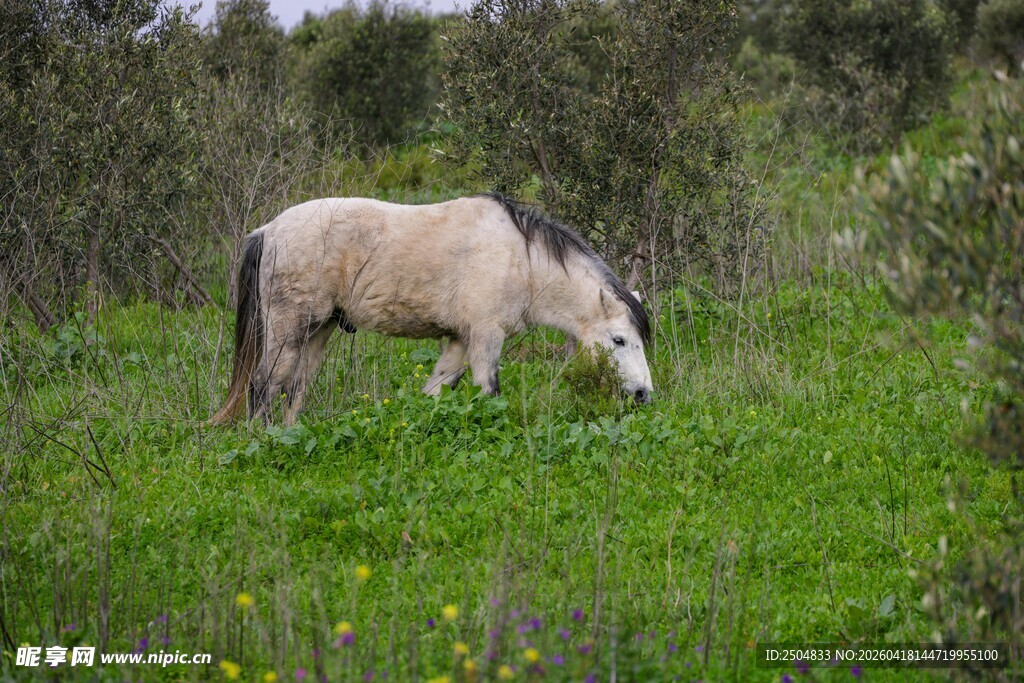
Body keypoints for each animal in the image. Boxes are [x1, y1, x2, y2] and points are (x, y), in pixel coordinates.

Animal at [211, 192, 653, 425]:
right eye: (619, 340)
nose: (643, 394)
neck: (521, 259)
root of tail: (268, 231)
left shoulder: (460, 340)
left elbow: (436, 390)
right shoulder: (485, 336)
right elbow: (489, 390)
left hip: (318, 330)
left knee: (296, 387)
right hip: (287, 330)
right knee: (264, 385)